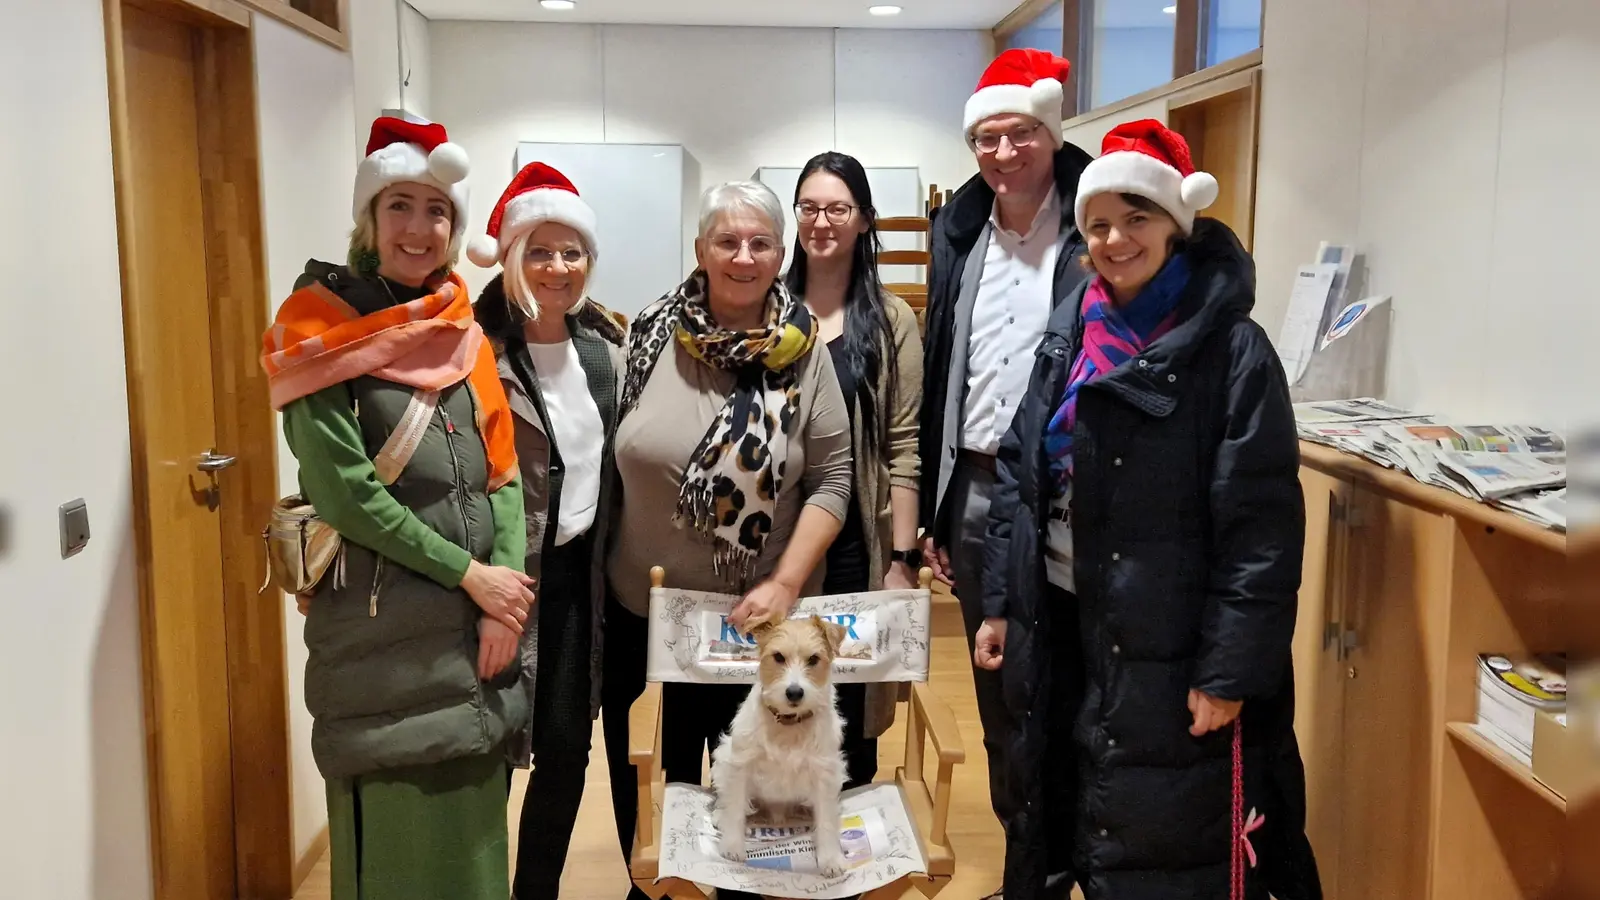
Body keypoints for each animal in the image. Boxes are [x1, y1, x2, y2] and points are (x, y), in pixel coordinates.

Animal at [710, 611, 851, 871]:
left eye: (813, 659)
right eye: (778, 657)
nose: (794, 693)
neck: (788, 724)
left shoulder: (825, 774)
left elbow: (827, 820)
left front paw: (830, 859)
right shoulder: (741, 765)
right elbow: (735, 808)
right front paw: (732, 846)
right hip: (724, 758)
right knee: (728, 799)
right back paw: (720, 816)